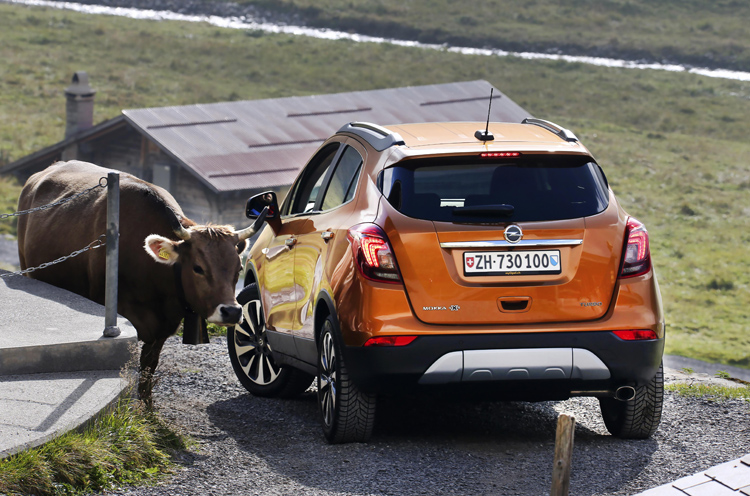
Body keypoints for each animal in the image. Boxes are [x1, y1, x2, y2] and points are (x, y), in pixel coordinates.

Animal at [16, 162, 262, 396]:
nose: (232, 312)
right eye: (197, 267)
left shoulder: (162, 330)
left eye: (239, 268)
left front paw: (147, 406)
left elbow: (147, 374)